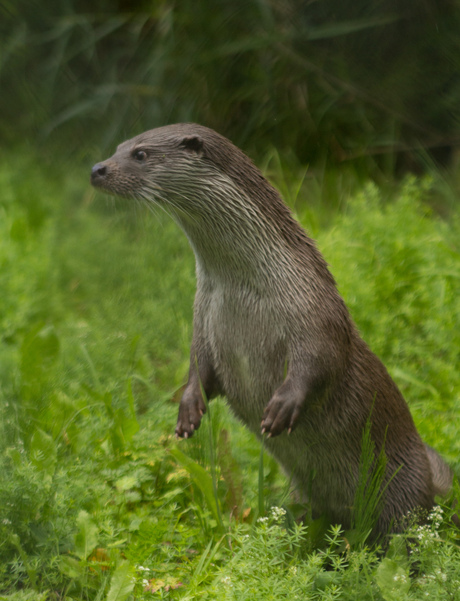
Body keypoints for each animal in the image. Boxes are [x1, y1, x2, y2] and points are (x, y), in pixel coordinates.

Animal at [91, 124, 452, 536]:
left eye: (140, 154)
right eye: (117, 147)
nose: (97, 169)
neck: (244, 291)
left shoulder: (314, 312)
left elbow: (321, 360)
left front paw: (282, 406)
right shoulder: (203, 319)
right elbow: (198, 365)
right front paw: (187, 411)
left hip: (404, 493)